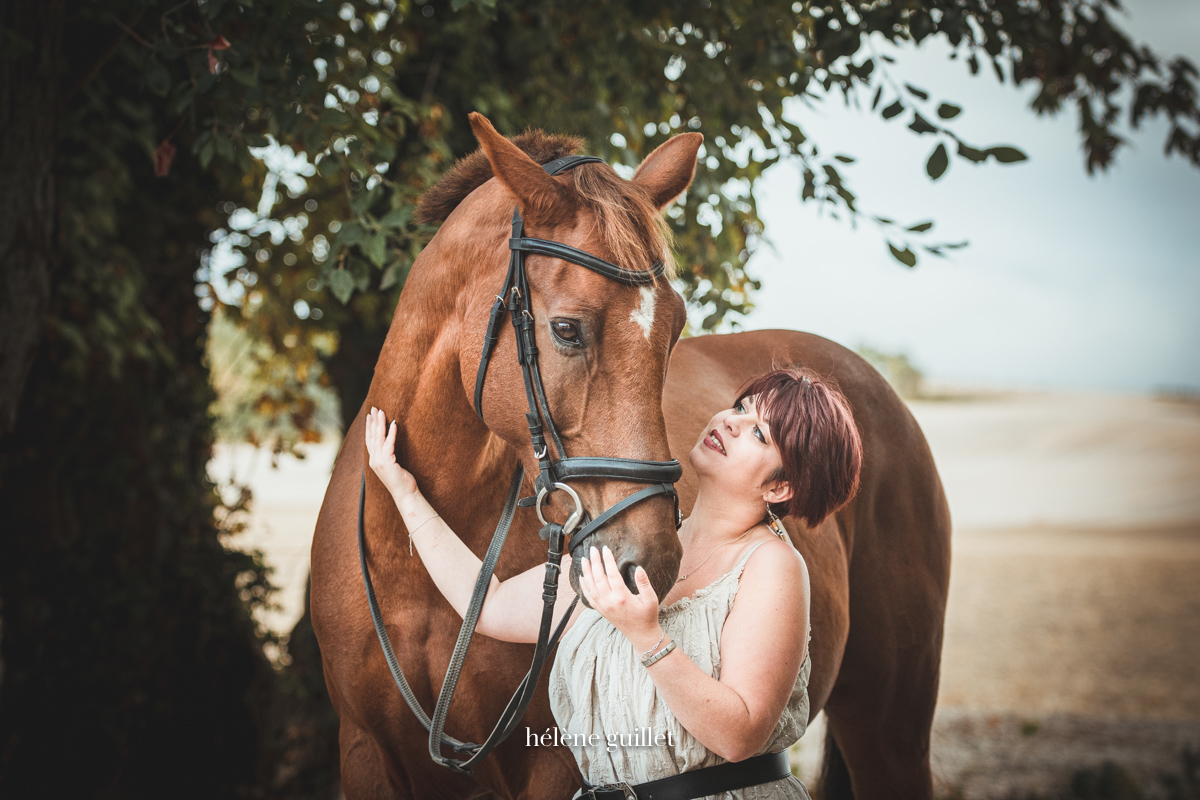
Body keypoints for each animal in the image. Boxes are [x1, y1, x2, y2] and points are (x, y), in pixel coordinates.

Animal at [309, 113, 945, 800]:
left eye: (674, 329)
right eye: (566, 329)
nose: (653, 561)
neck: (410, 563)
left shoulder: (553, 763)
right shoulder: (364, 750)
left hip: (890, 729)